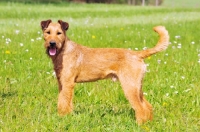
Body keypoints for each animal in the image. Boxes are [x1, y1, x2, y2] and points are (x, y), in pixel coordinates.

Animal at [40, 19, 169, 124]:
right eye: (48, 32)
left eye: (59, 33)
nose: (52, 43)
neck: (63, 51)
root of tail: (137, 54)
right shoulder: (62, 83)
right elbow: (63, 101)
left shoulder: (68, 83)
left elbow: (64, 102)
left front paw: (63, 117)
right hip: (137, 87)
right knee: (148, 106)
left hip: (129, 86)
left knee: (141, 108)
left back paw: (139, 125)